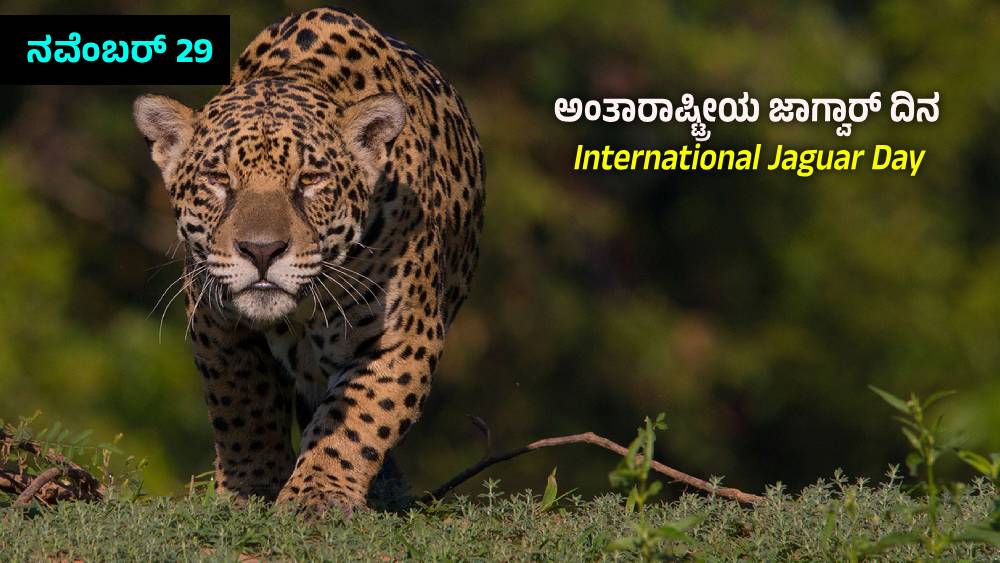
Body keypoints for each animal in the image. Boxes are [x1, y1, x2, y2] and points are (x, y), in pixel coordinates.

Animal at [133, 7, 485, 517]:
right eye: (219, 180)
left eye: (311, 180)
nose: (261, 251)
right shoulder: (216, 327)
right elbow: (242, 406)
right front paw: (250, 487)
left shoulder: (402, 337)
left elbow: (357, 417)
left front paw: (319, 493)